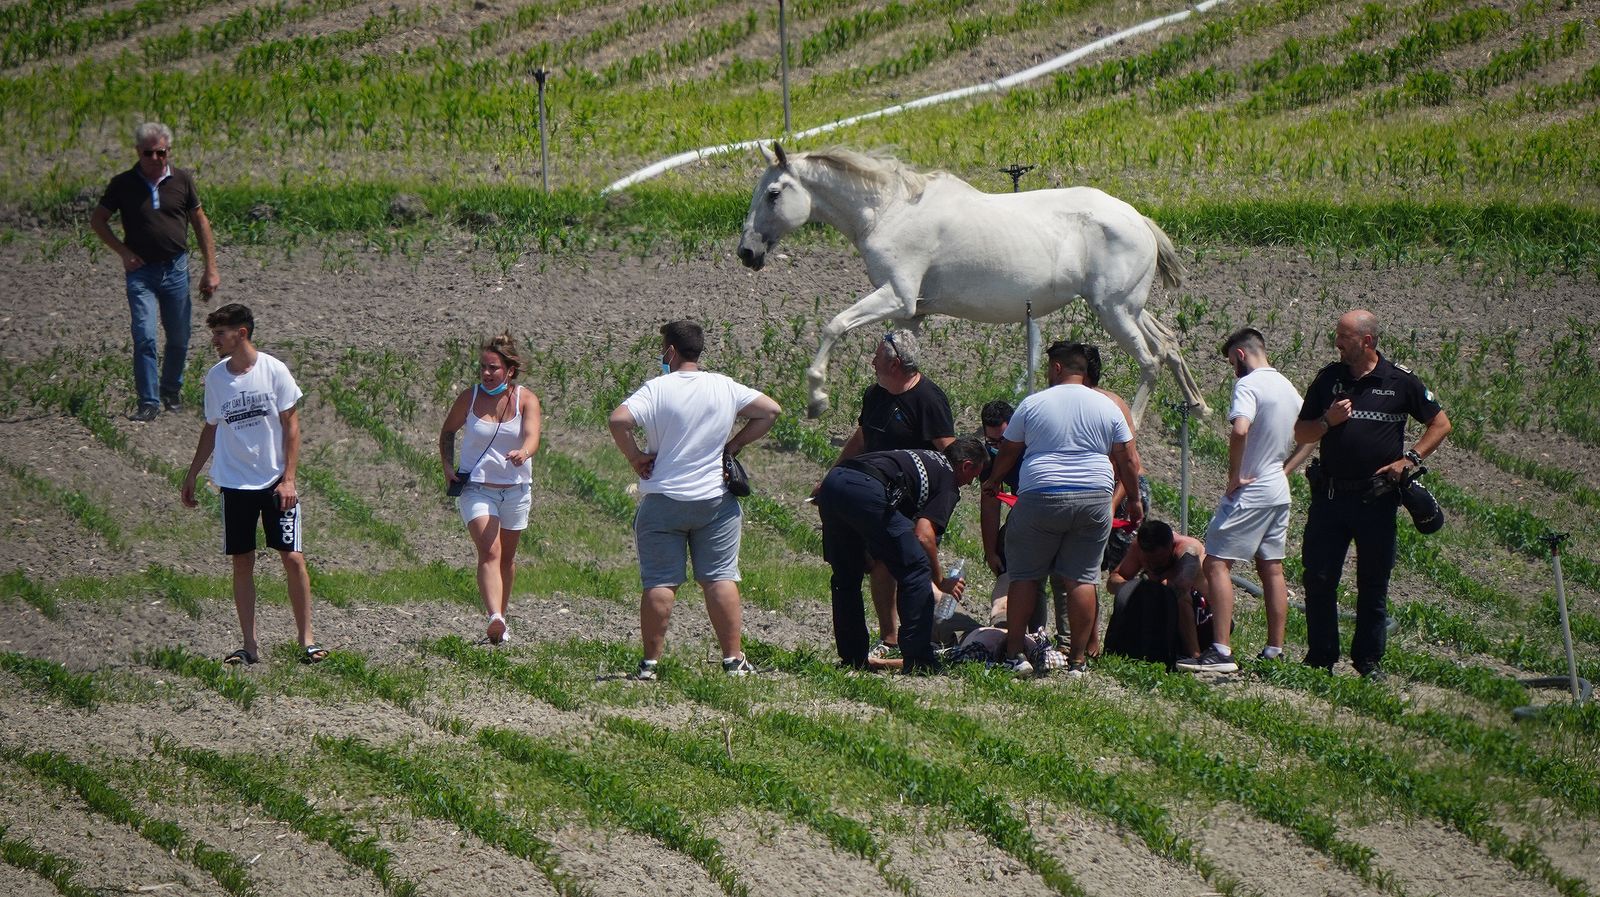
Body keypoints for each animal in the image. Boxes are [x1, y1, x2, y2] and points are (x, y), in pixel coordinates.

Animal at [736, 144, 1207, 427]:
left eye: (774, 193)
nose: (746, 252)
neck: (889, 211)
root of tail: (1138, 218)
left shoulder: (896, 296)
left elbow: (834, 325)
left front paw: (817, 398)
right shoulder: (913, 313)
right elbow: (901, 360)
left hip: (1114, 312)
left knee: (1150, 361)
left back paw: (1134, 425)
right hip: (1127, 308)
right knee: (1168, 344)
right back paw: (1199, 407)